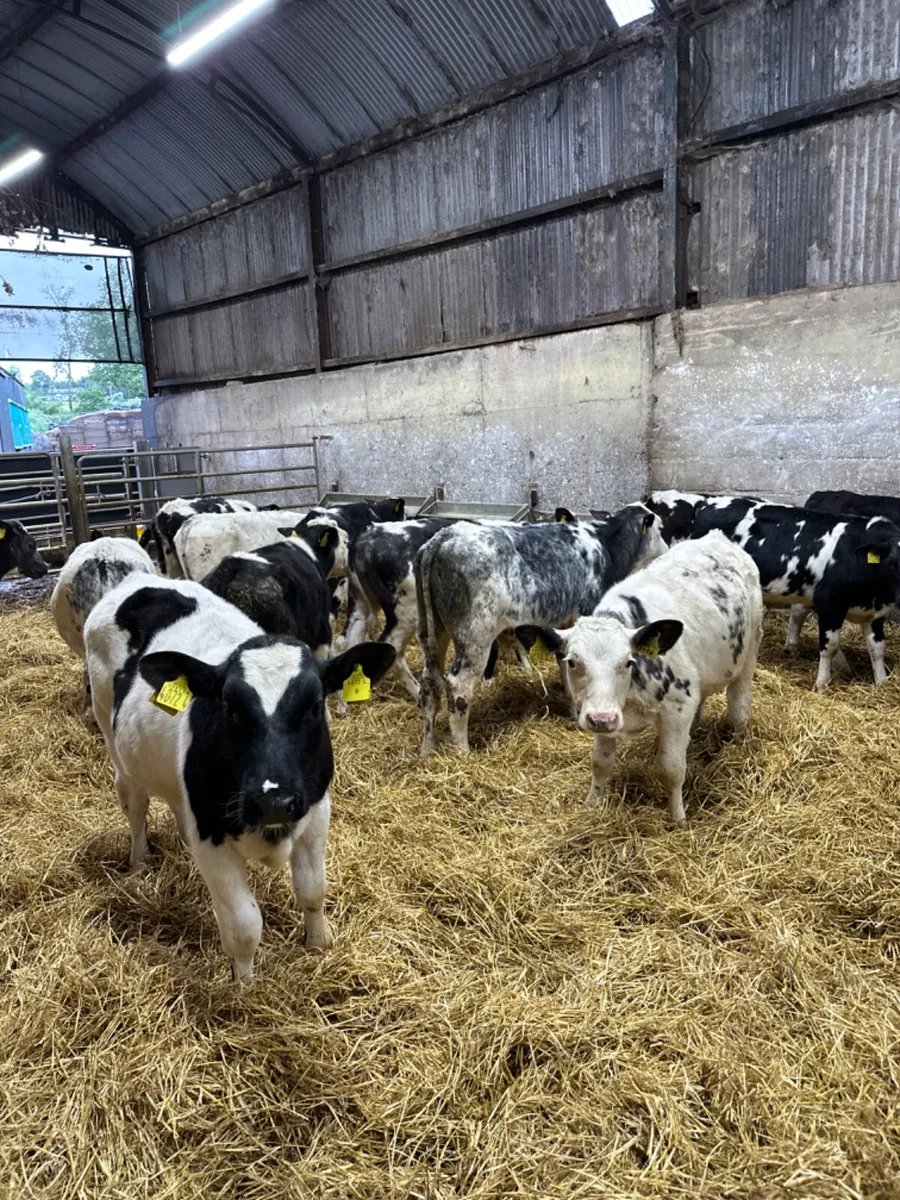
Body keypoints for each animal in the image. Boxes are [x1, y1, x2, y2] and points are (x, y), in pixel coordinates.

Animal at [84, 572, 395, 980]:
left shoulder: (315, 814)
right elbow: (244, 926)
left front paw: (318, 943)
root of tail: (140, 578)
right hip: (114, 742)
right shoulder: (212, 839)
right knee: (135, 806)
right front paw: (244, 985)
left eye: (315, 706)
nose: (273, 800)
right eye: (230, 708)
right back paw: (139, 860)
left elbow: (313, 891)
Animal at [415, 504, 667, 755]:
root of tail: (446, 535)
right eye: (661, 527)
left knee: (429, 683)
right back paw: (462, 751)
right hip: (475, 636)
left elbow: (565, 664)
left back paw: (427, 749)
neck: (608, 547)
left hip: (434, 631)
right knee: (459, 688)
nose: (666, 550)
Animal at [516, 532, 762, 825]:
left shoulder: (677, 709)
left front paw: (678, 819)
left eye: (627, 662)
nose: (602, 719)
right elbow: (600, 763)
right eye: (572, 662)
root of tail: (717, 537)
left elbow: (671, 769)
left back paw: (737, 744)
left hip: (749, 653)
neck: (631, 698)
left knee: (739, 706)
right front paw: (592, 804)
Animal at [692, 500, 900, 688]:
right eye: (891, 563)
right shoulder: (829, 603)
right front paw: (821, 683)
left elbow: (877, 648)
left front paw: (882, 682)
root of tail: (707, 505)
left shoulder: (875, 612)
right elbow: (829, 646)